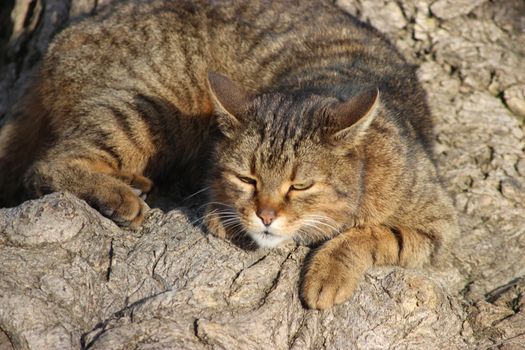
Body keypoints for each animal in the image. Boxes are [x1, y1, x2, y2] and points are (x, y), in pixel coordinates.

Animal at [0, 0, 456, 308]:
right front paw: (226, 216)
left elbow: (372, 235)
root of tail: (63, 39)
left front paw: (328, 272)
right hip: (148, 108)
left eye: (300, 186)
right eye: (247, 178)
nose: (266, 215)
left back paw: (131, 182)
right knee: (46, 166)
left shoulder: (437, 228)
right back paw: (118, 194)